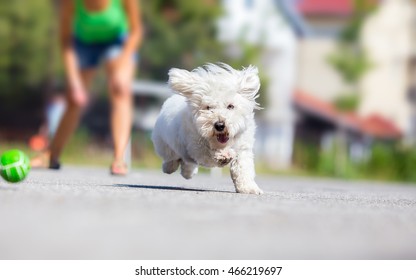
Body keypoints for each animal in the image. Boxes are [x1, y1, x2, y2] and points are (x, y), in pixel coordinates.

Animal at [152, 63, 264, 195]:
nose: (220, 125)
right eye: (208, 107)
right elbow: (208, 153)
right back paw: (169, 167)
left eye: (230, 106)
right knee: (171, 158)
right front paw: (223, 155)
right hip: (165, 143)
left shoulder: (242, 148)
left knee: (186, 162)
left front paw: (248, 188)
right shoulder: (196, 146)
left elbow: (242, 168)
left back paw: (188, 173)